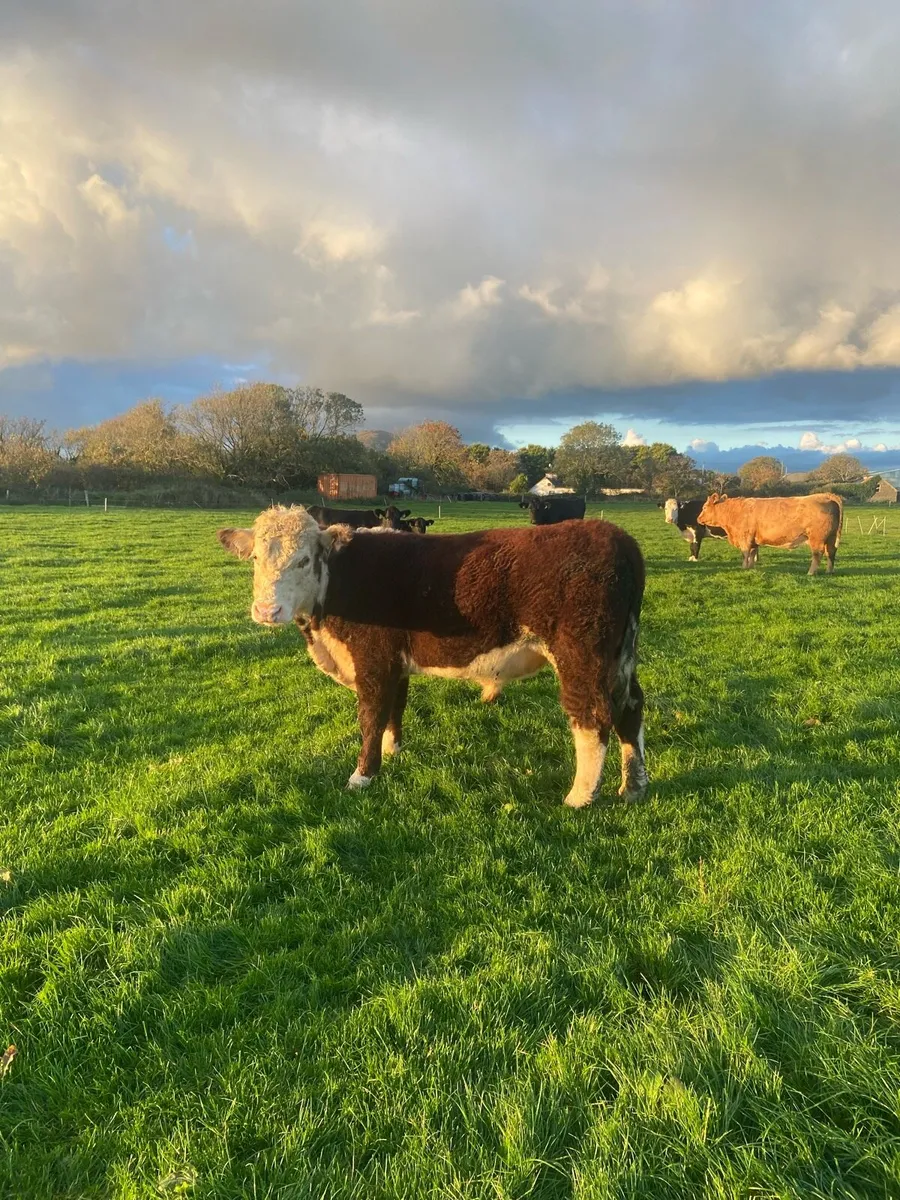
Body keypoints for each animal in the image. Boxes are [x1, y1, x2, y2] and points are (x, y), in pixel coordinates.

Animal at [217, 505, 647, 808]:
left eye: (304, 560)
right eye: (255, 558)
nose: (266, 611)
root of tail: (614, 535)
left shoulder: (373, 659)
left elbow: (371, 714)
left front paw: (363, 774)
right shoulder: (396, 661)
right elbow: (395, 708)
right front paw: (392, 750)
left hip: (580, 654)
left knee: (592, 716)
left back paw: (580, 796)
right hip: (621, 655)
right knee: (631, 707)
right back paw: (633, 785)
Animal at [696, 493, 843, 574]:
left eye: (704, 507)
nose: (698, 518)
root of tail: (825, 495)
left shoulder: (745, 538)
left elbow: (745, 553)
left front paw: (743, 567)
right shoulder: (753, 540)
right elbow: (752, 554)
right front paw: (750, 567)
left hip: (816, 538)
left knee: (817, 554)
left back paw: (811, 572)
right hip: (831, 537)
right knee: (831, 553)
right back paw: (829, 571)